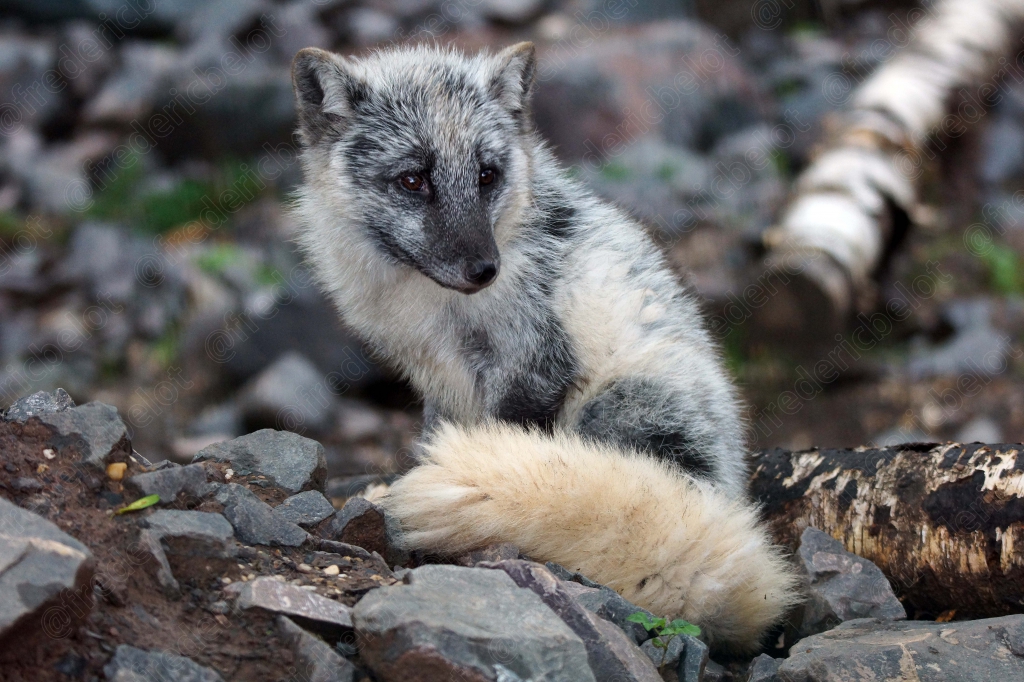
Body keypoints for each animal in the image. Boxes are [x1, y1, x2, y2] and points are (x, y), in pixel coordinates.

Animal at [289, 41, 799, 653]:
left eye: (487, 175)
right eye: (413, 180)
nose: (484, 269)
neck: (436, 309)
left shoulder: (536, 365)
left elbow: (512, 441)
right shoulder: (440, 383)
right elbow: (439, 440)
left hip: (621, 405)